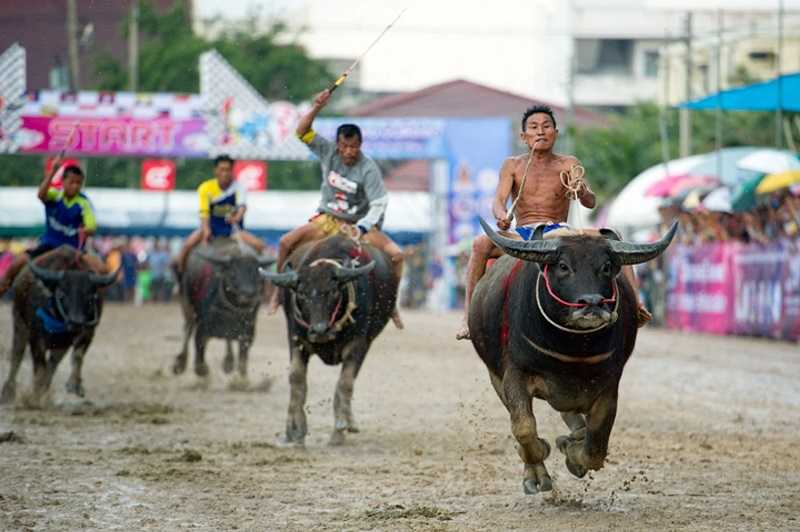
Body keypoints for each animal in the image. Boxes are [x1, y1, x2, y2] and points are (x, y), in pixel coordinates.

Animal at [0, 245, 116, 404]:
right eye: (62, 294)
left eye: (89, 297)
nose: (76, 322)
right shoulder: (36, 337)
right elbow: (39, 366)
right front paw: (35, 396)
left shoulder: (86, 332)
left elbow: (76, 356)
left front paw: (74, 384)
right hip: (19, 323)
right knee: (17, 355)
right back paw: (8, 392)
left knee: (52, 364)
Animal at [172, 239, 272, 380]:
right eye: (233, 273)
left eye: (257, 273)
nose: (248, 293)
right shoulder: (203, 327)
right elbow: (199, 348)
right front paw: (202, 369)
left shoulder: (248, 331)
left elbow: (242, 357)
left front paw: (241, 379)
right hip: (187, 304)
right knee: (188, 329)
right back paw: (180, 363)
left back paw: (228, 362)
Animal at [262, 235, 396, 446]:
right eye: (302, 293)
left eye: (333, 291)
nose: (320, 330)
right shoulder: (296, 339)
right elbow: (297, 379)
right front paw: (295, 430)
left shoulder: (358, 344)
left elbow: (345, 383)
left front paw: (339, 429)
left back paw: (348, 423)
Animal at [468, 218, 676, 492]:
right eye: (563, 266)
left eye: (606, 266)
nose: (592, 303)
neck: (574, 348)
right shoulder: (513, 374)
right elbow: (523, 427)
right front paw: (541, 456)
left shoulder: (608, 386)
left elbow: (595, 450)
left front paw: (572, 452)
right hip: (495, 375)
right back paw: (536, 474)